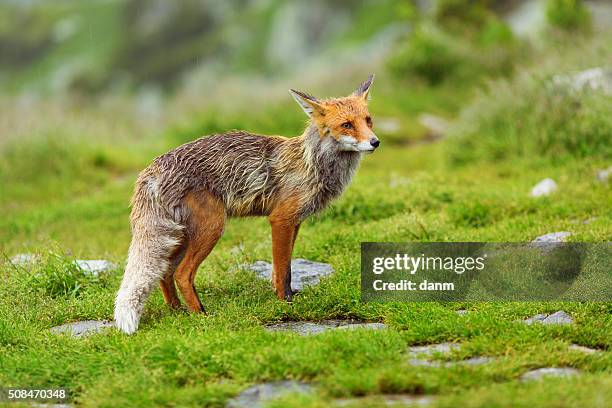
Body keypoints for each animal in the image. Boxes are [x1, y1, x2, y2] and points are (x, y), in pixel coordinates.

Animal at [115, 75, 378, 334]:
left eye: (368, 120)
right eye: (347, 125)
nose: (375, 142)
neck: (311, 163)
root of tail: (152, 169)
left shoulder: (295, 222)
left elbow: (282, 269)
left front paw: (285, 296)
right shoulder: (280, 220)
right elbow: (283, 270)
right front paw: (285, 304)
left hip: (181, 236)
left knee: (164, 273)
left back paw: (178, 312)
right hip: (211, 229)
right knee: (181, 274)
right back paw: (201, 316)